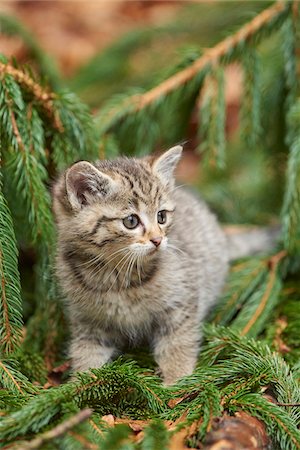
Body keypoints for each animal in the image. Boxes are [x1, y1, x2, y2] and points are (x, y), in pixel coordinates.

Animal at [52, 146, 272, 384]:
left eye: (161, 216)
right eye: (131, 221)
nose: (158, 240)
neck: (118, 278)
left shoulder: (182, 302)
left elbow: (177, 343)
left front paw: (177, 382)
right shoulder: (87, 320)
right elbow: (86, 352)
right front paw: (79, 384)